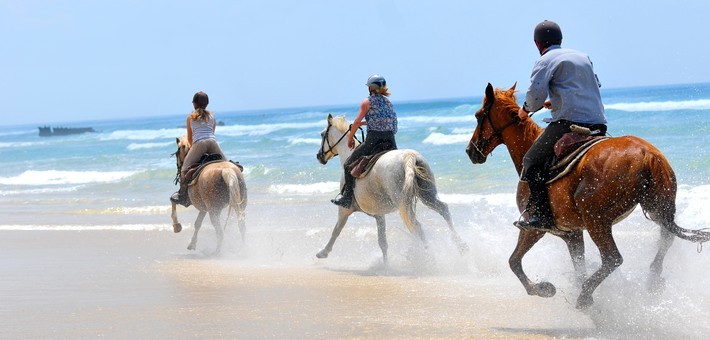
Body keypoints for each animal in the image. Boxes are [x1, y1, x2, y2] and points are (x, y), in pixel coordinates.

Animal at [316, 115, 468, 262]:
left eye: (322, 134)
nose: (319, 156)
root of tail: (409, 157)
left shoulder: (345, 209)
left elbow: (336, 230)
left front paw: (323, 252)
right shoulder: (379, 215)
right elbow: (382, 243)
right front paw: (385, 264)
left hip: (404, 204)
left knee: (416, 226)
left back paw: (427, 256)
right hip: (427, 195)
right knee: (443, 210)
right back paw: (460, 246)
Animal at [468, 82, 710, 308]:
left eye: (479, 116)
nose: (470, 151)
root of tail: (647, 153)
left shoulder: (534, 228)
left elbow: (514, 261)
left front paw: (543, 288)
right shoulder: (572, 234)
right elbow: (578, 266)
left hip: (596, 220)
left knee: (613, 258)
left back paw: (585, 296)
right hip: (657, 208)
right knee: (666, 239)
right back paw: (653, 280)